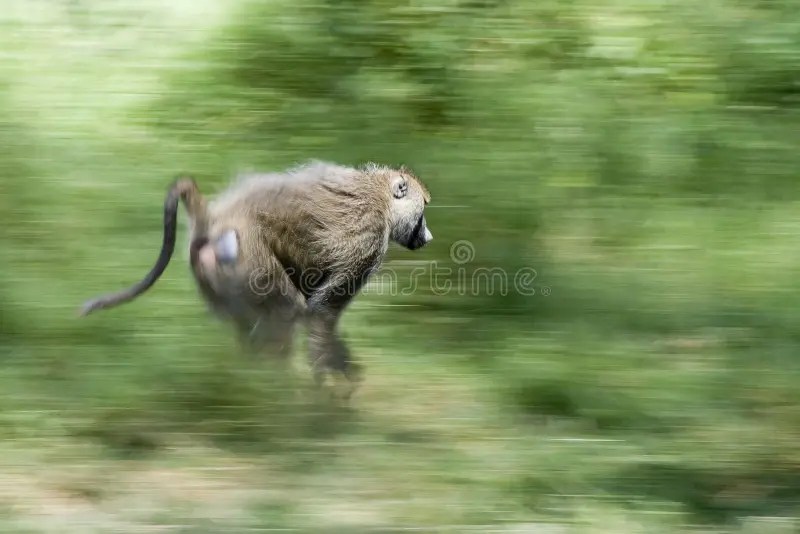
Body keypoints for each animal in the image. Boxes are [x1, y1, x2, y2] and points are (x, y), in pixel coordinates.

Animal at [79, 161, 433, 395]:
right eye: (422, 213)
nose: (428, 237)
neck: (379, 195)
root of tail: (215, 219)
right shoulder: (369, 240)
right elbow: (321, 312)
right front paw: (331, 386)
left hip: (216, 274)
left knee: (252, 323)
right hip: (249, 260)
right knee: (285, 312)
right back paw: (276, 397)